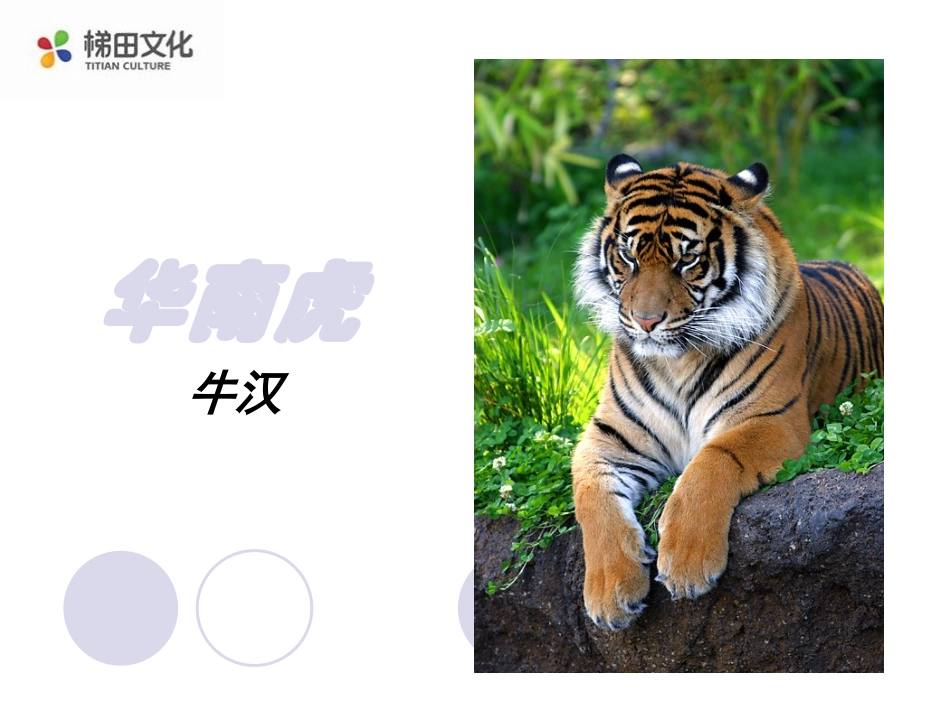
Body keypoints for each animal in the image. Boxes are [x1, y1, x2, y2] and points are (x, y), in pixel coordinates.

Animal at [571, 154, 884, 630]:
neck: (676, 362)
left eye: (688, 259)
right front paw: (610, 594)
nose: (645, 321)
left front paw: (687, 563)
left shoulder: (772, 420)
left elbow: (711, 462)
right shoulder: (609, 436)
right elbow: (593, 497)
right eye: (627, 255)